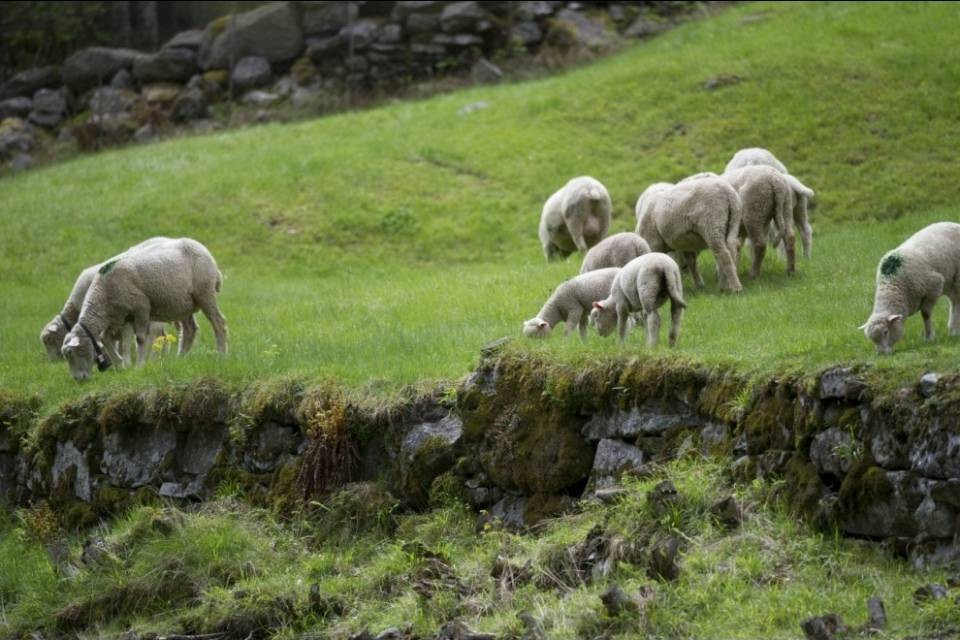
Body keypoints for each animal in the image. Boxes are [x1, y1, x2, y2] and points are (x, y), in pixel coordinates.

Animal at [61, 237, 227, 380]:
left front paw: (139, 366)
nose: (79, 379)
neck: (102, 293)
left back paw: (221, 355)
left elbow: (139, 339)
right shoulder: (120, 317)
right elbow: (105, 338)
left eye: (76, 352)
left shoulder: (141, 308)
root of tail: (203, 248)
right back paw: (180, 358)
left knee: (219, 323)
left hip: (205, 292)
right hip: (183, 304)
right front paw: (119, 364)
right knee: (189, 329)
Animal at [860, 222, 960, 354]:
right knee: (954, 302)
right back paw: (953, 330)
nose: (881, 354)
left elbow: (926, 314)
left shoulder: (934, 286)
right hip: (950, 282)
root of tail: (954, 223)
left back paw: (954, 331)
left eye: (886, 332)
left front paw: (929, 338)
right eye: (871, 339)